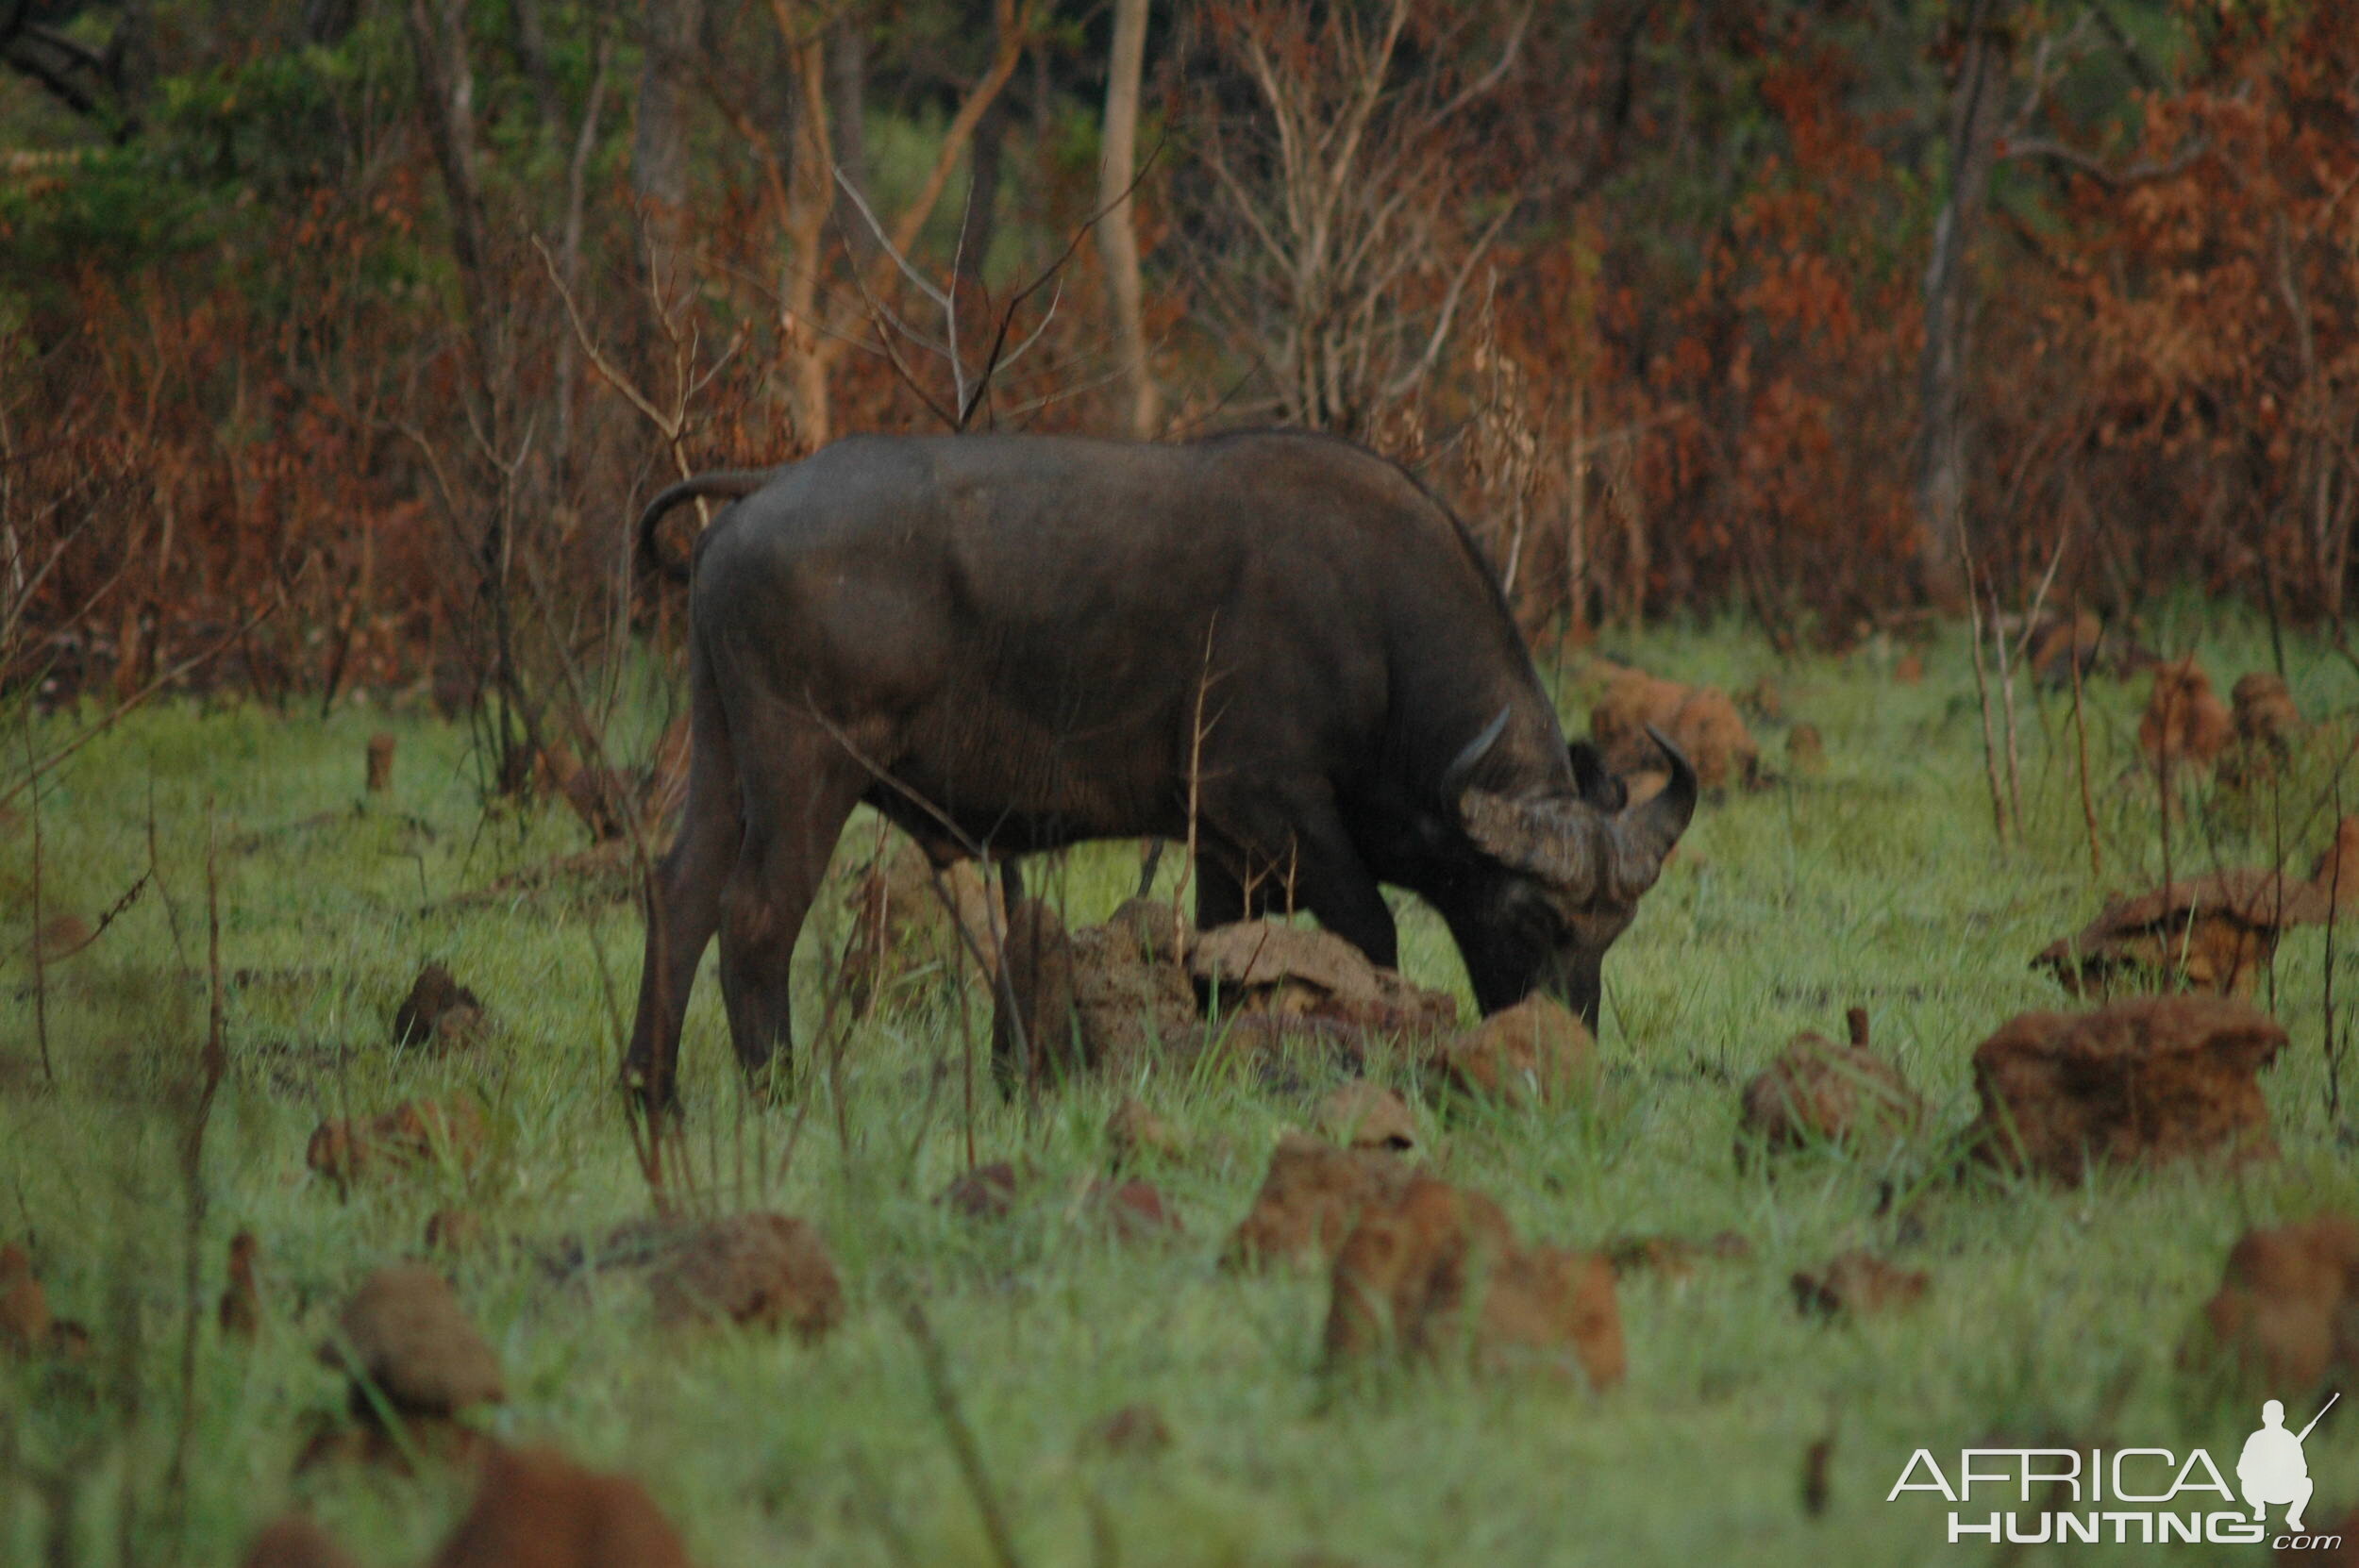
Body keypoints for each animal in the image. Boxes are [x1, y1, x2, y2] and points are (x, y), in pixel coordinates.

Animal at [627, 428, 1698, 1098]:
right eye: (1534, 918)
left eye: (1613, 931)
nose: (1565, 1043)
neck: (1376, 633)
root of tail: (763, 490)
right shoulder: (1273, 809)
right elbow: (1370, 938)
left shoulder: (1228, 848)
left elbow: (1228, 954)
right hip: (806, 766)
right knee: (754, 917)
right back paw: (774, 1090)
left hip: (724, 753)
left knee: (678, 897)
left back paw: (651, 1089)